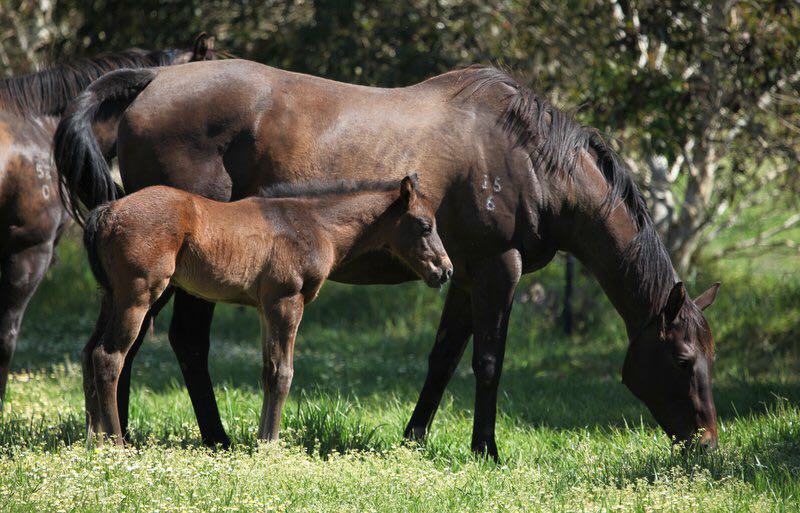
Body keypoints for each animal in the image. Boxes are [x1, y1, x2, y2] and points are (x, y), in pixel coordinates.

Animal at [81, 177, 451, 444]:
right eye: (424, 225)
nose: (445, 270)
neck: (316, 224)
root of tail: (108, 211)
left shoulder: (264, 308)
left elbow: (268, 370)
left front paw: (261, 439)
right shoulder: (286, 301)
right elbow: (283, 373)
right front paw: (270, 443)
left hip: (110, 296)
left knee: (88, 352)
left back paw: (93, 439)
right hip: (139, 296)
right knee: (108, 356)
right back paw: (116, 442)